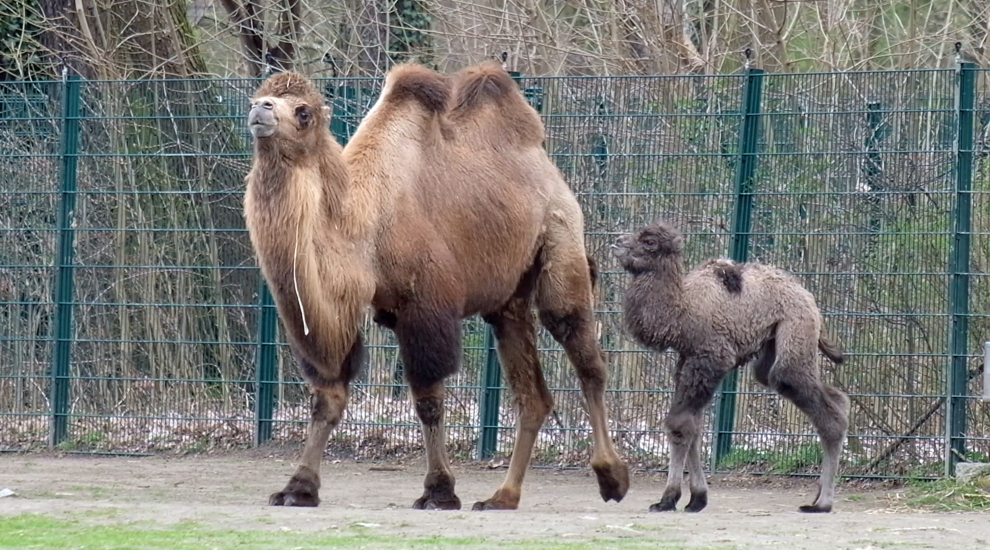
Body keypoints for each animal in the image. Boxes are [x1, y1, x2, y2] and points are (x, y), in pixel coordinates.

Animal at [242, 61, 628, 512]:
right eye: (258, 96)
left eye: (302, 112)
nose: (260, 110)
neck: (366, 225)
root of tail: (550, 170)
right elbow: (327, 396)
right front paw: (298, 487)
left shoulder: (426, 306)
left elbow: (428, 400)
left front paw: (439, 490)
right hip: (507, 301)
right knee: (532, 395)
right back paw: (502, 497)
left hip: (561, 240)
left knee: (586, 358)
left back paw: (612, 478)